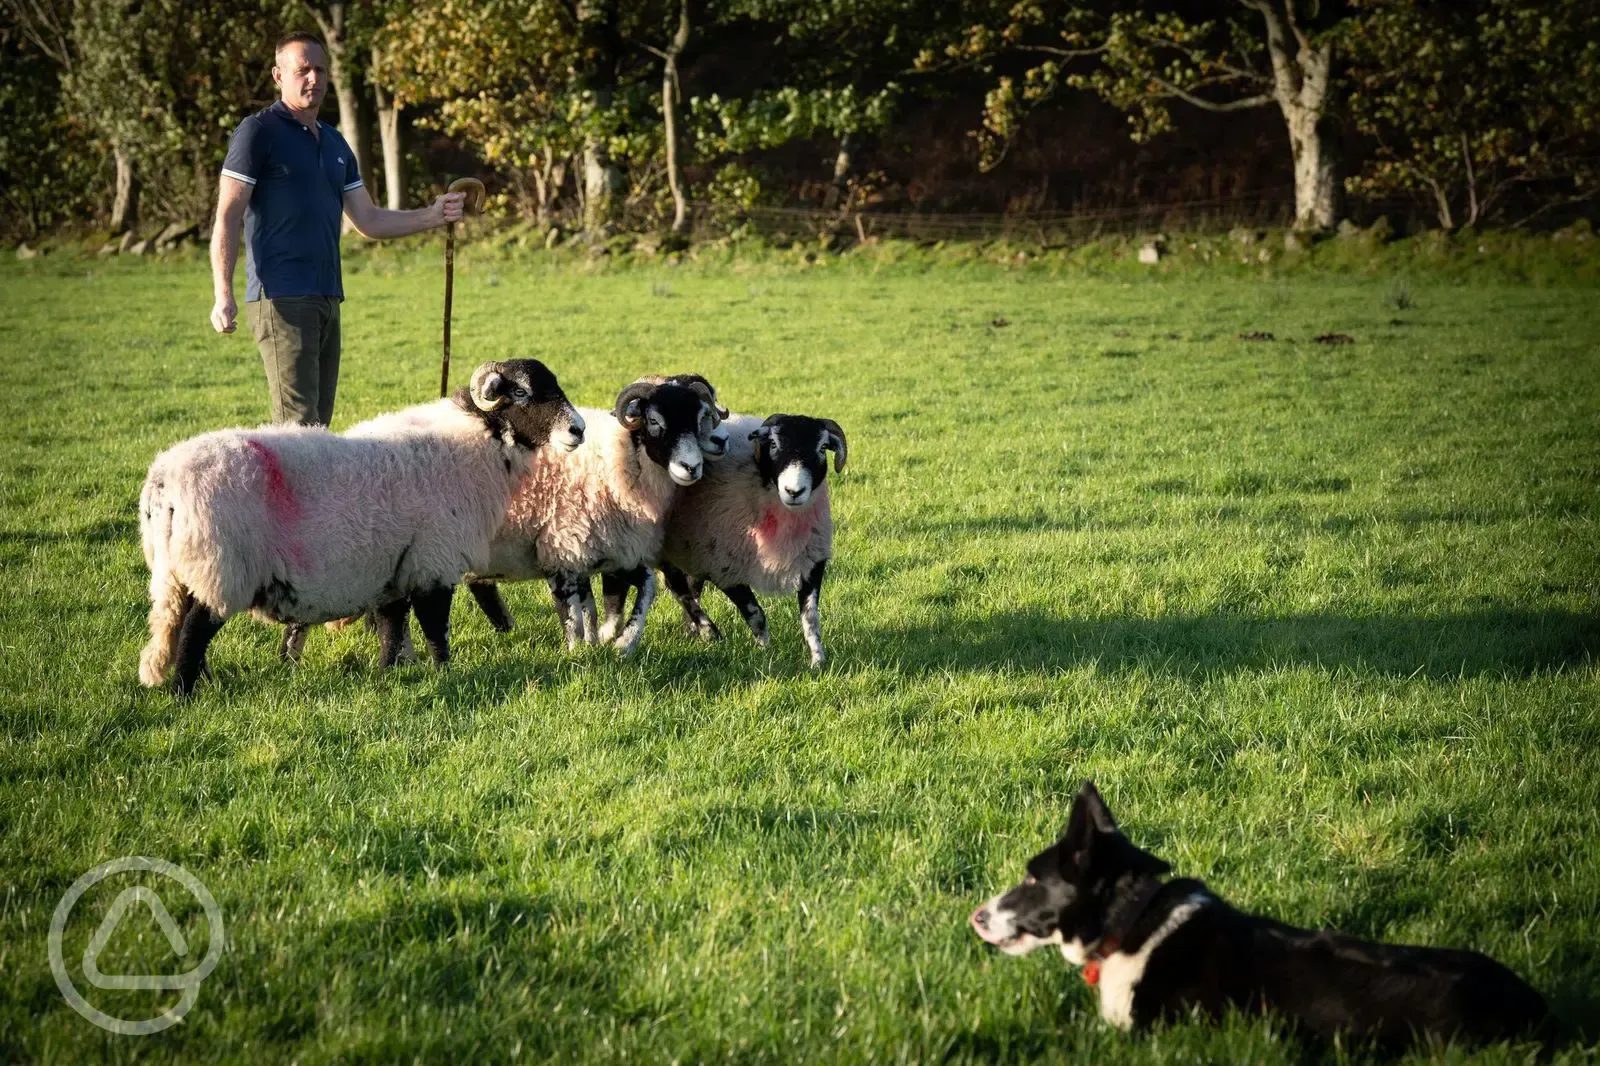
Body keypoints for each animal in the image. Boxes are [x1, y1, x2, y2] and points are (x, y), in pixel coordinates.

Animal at [140, 356, 585, 694]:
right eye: (522, 392)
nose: (578, 429)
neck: (475, 445)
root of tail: (163, 482)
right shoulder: (433, 560)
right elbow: (434, 626)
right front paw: (444, 672)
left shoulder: (395, 567)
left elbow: (392, 624)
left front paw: (391, 672)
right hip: (220, 566)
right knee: (195, 629)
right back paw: (184, 692)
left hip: (179, 572)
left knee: (180, 625)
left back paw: (201, 681)